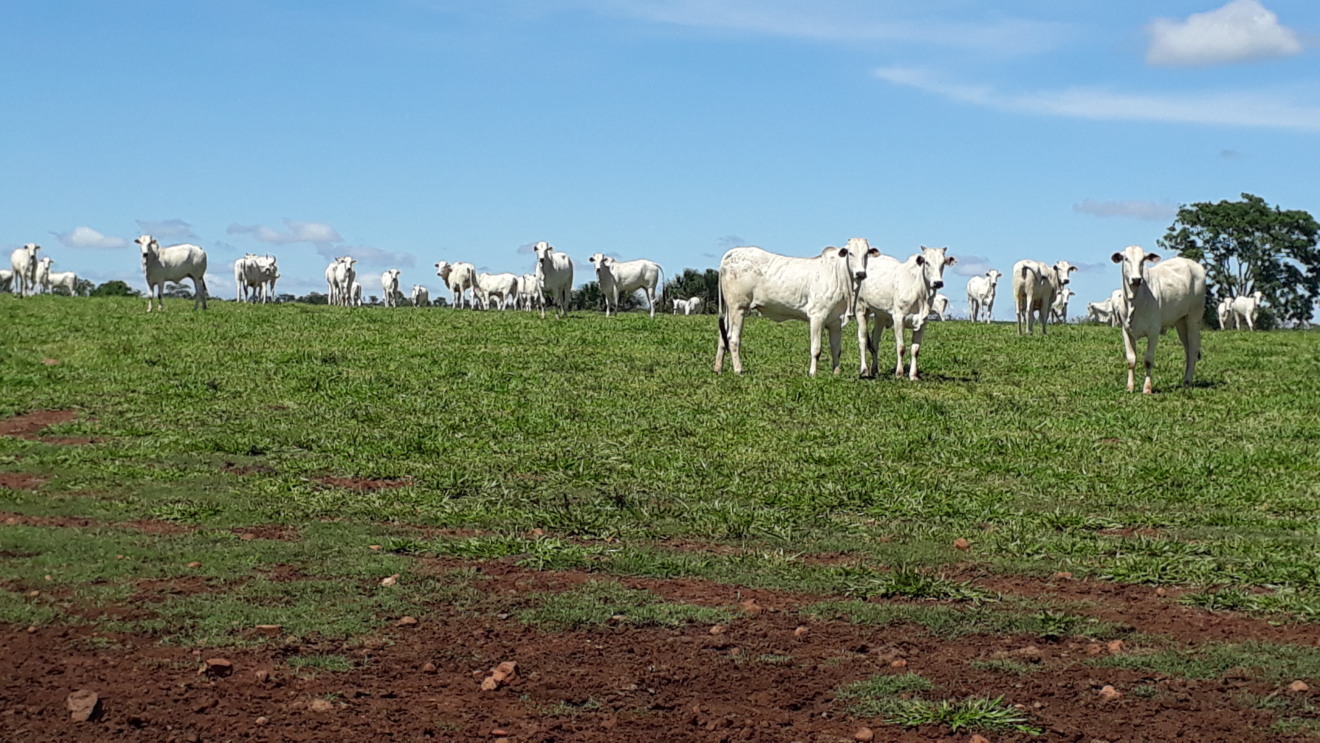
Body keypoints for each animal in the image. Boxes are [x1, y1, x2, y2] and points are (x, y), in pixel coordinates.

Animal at [718, 238, 881, 377]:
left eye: (866, 254)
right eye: (850, 253)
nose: (861, 273)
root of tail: (732, 253)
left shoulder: (835, 321)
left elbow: (836, 349)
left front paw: (836, 373)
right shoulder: (817, 316)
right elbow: (816, 349)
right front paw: (812, 373)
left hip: (730, 310)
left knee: (722, 337)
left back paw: (718, 368)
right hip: (738, 308)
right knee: (733, 339)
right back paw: (738, 369)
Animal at [855, 245, 960, 380]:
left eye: (943, 263)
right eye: (927, 262)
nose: (938, 282)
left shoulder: (923, 322)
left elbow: (915, 349)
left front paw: (913, 375)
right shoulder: (899, 319)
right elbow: (901, 348)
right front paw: (899, 373)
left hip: (880, 315)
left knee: (875, 341)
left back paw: (875, 369)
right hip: (861, 309)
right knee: (862, 340)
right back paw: (864, 370)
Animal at [1114, 244, 1209, 395]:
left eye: (1143, 260)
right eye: (1126, 258)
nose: (1136, 279)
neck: (1135, 300)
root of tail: (1194, 264)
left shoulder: (1153, 331)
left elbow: (1148, 360)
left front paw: (1147, 388)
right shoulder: (1126, 331)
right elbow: (1131, 359)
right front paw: (1130, 387)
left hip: (1194, 317)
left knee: (1193, 348)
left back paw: (1187, 381)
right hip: (1180, 321)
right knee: (1187, 350)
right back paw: (1185, 380)